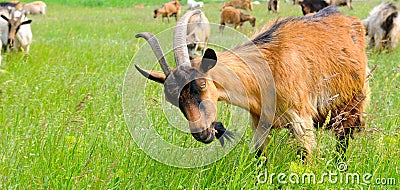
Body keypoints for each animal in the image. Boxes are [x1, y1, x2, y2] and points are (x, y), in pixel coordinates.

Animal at [136, 7, 370, 162]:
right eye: (171, 98)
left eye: (202, 84)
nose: (201, 133)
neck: (268, 67)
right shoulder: (259, 121)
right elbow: (260, 158)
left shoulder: (301, 117)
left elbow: (305, 157)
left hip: (352, 104)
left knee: (343, 139)